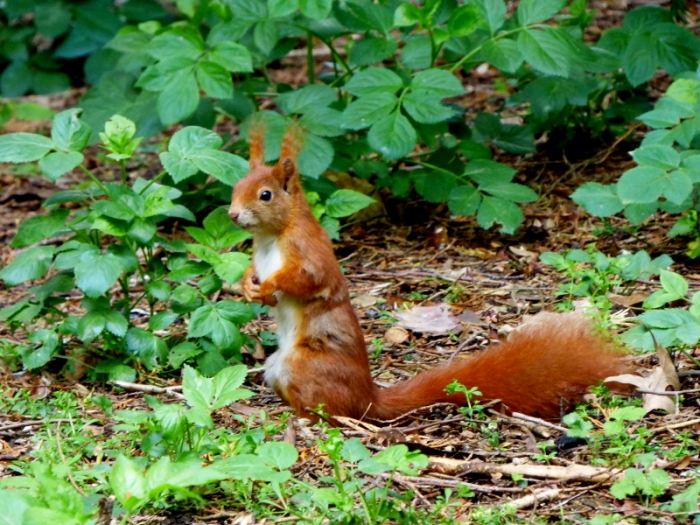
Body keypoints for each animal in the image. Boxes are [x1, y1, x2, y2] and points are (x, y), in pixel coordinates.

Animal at [228, 124, 627, 421]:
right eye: (234, 188)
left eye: (265, 195)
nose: (232, 214)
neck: (271, 237)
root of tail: (368, 398)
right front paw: (247, 285)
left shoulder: (309, 251)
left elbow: (309, 279)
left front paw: (269, 284)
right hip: (279, 369)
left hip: (304, 366)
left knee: (335, 413)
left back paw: (305, 419)